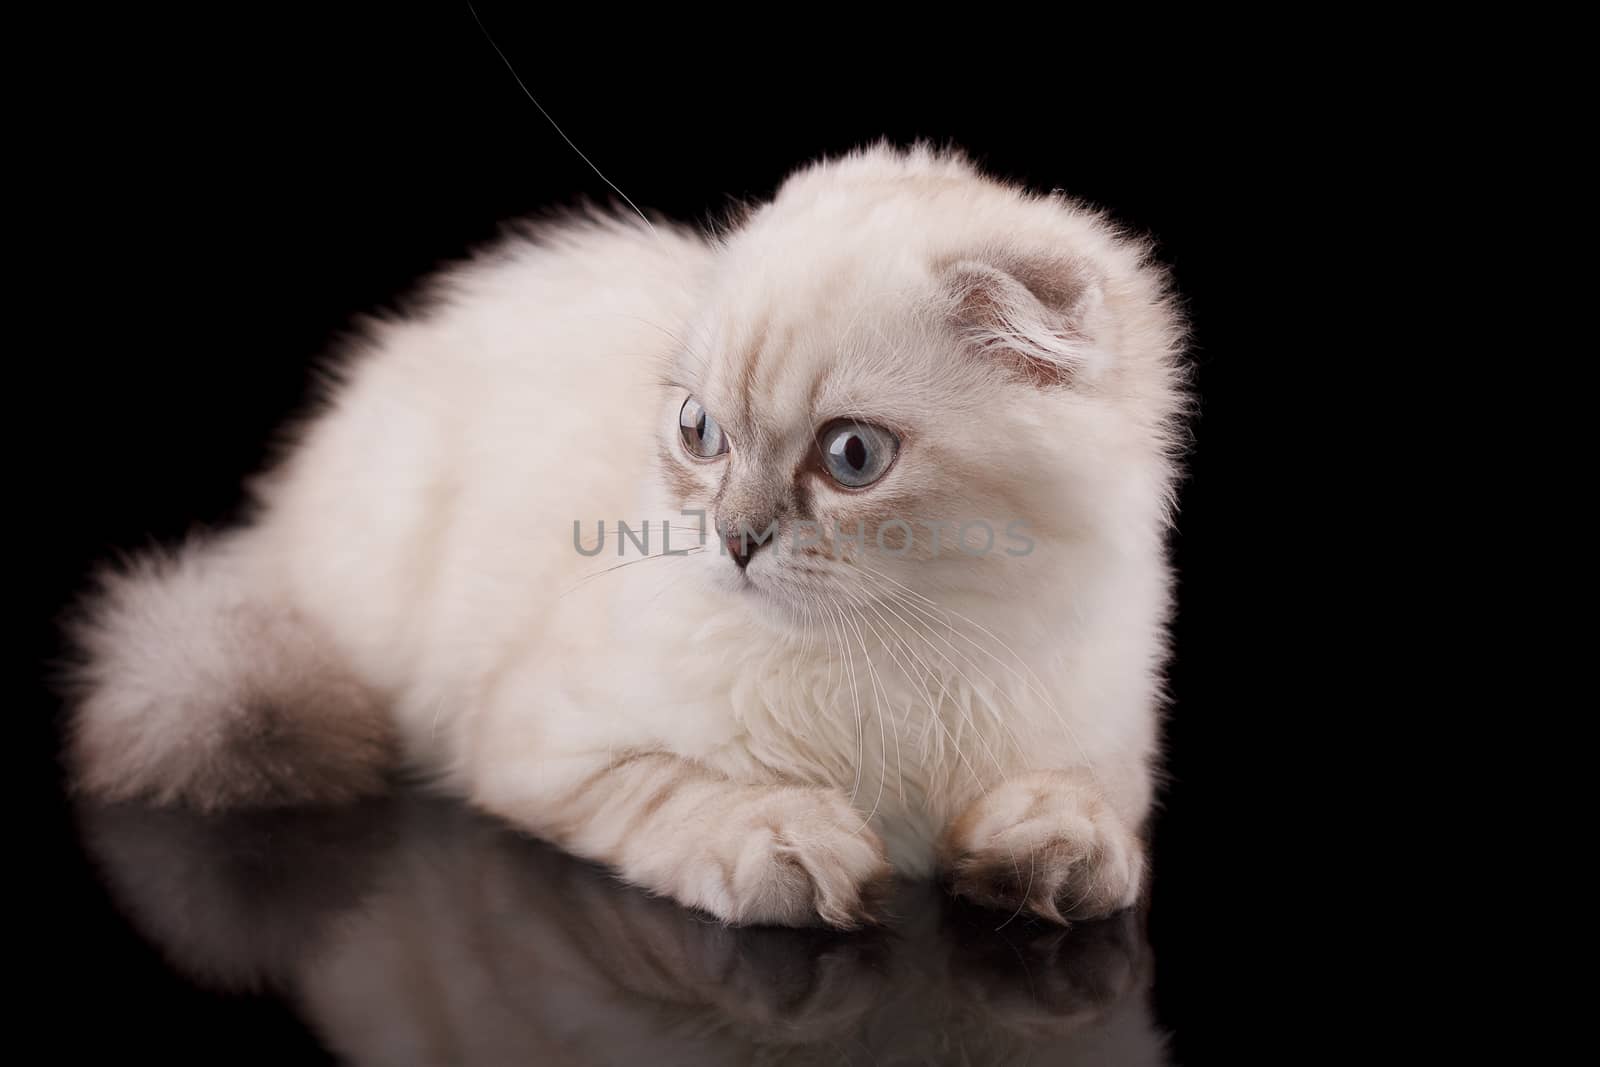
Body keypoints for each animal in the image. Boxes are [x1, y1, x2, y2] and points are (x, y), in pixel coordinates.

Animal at [65, 146, 1190, 927]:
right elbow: (693, 798)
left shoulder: (1104, 751)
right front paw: (799, 845)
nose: (734, 541)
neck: (910, 651)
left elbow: (1083, 815)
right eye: (700, 431)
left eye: (852, 457)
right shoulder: (545, 746)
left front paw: (1047, 860)